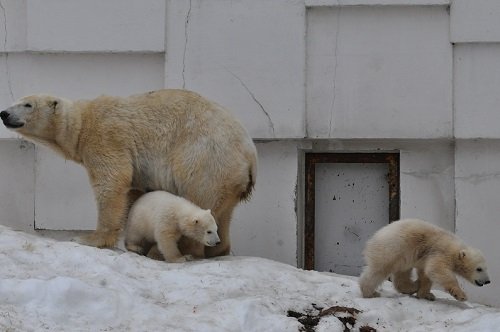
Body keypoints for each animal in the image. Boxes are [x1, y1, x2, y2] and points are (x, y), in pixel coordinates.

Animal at [0, 89, 258, 256]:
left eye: (27, 104)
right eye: (17, 101)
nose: (4, 113)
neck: (82, 123)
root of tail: (250, 156)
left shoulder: (106, 136)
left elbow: (112, 181)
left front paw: (89, 238)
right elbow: (134, 191)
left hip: (206, 160)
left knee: (197, 200)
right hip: (229, 179)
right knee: (223, 213)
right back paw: (219, 249)